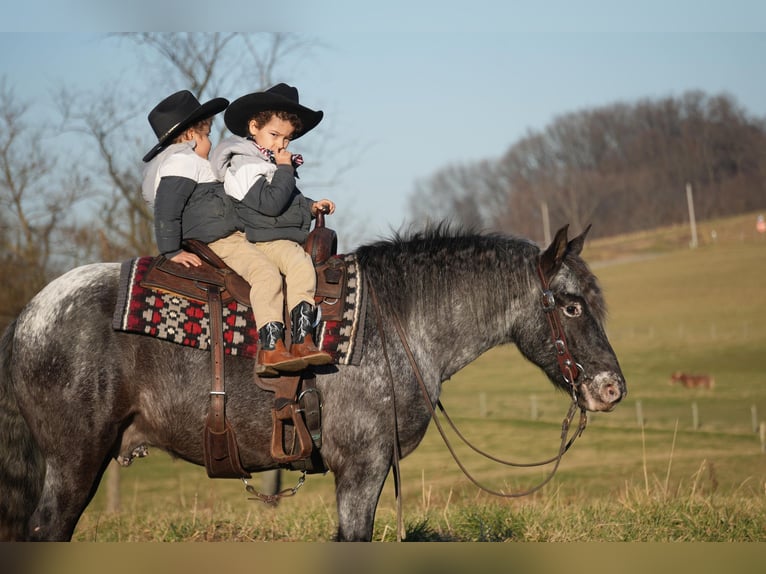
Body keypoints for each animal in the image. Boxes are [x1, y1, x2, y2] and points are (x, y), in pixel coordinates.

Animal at [0, 224, 626, 541]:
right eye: (572, 306)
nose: (612, 388)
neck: (394, 321)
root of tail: (29, 313)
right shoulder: (363, 467)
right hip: (75, 461)